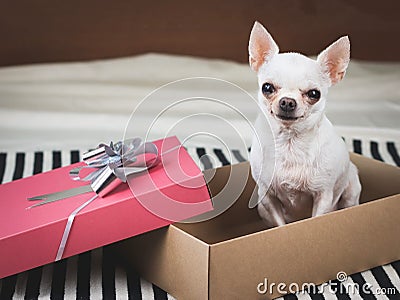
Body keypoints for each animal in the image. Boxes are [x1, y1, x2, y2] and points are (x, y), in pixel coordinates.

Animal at [248, 21, 360, 227]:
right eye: (267, 87)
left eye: (314, 94)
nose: (287, 102)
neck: (290, 141)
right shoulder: (267, 197)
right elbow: (280, 224)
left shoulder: (323, 196)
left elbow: (318, 217)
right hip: (261, 208)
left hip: (351, 190)